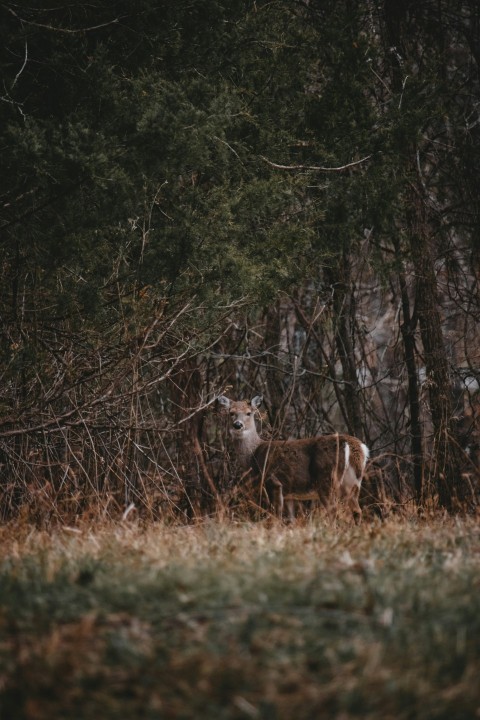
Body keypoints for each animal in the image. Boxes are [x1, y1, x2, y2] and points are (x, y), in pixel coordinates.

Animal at [219, 394, 370, 524]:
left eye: (248, 413)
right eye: (231, 412)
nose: (237, 425)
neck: (254, 455)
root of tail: (355, 445)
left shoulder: (273, 482)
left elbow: (276, 517)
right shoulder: (289, 493)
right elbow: (290, 520)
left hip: (327, 479)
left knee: (333, 511)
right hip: (353, 482)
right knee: (357, 510)